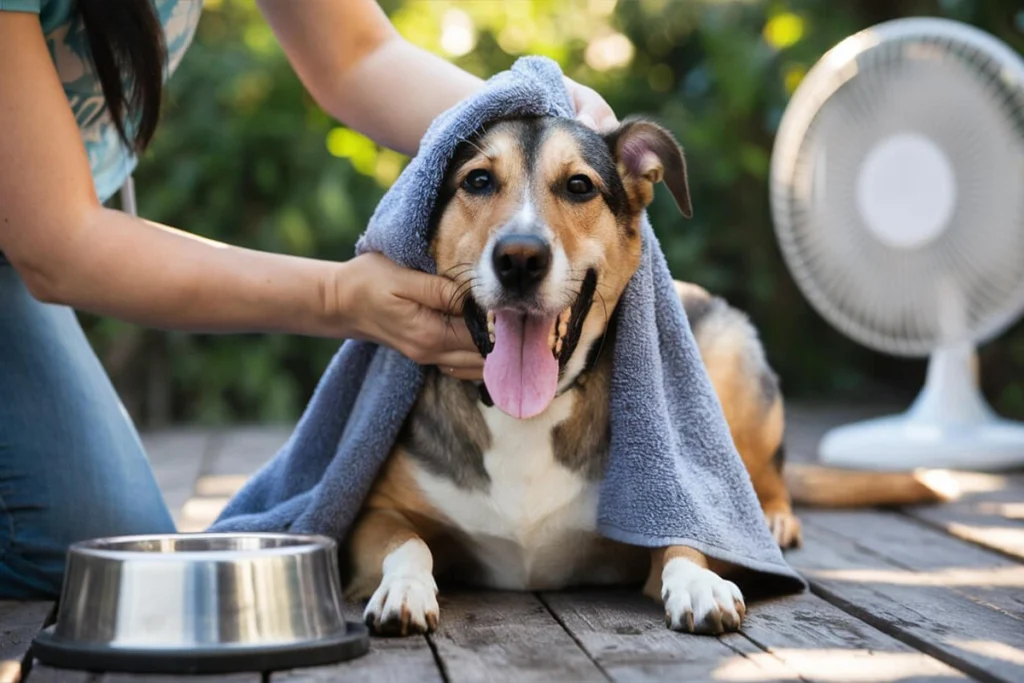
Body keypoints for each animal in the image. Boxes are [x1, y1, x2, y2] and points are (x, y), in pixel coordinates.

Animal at [346, 114, 950, 638]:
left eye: (579, 186)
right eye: (477, 180)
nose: (520, 258)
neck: (529, 414)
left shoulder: (667, 505)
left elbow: (685, 539)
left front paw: (700, 582)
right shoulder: (374, 514)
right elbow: (409, 542)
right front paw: (403, 587)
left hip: (733, 354)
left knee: (765, 476)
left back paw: (774, 517)